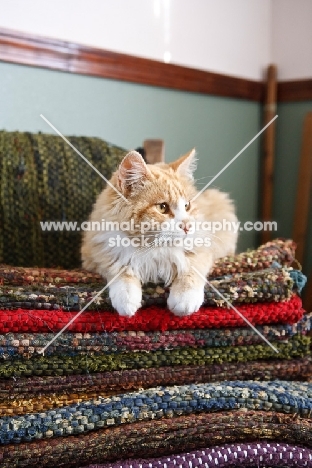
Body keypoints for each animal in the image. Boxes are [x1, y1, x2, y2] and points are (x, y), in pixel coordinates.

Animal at [81, 150, 238, 318]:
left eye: (187, 206)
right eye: (162, 207)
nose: (187, 226)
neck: (152, 248)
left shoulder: (202, 249)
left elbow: (191, 271)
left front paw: (184, 300)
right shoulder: (97, 253)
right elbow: (119, 271)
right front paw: (126, 299)